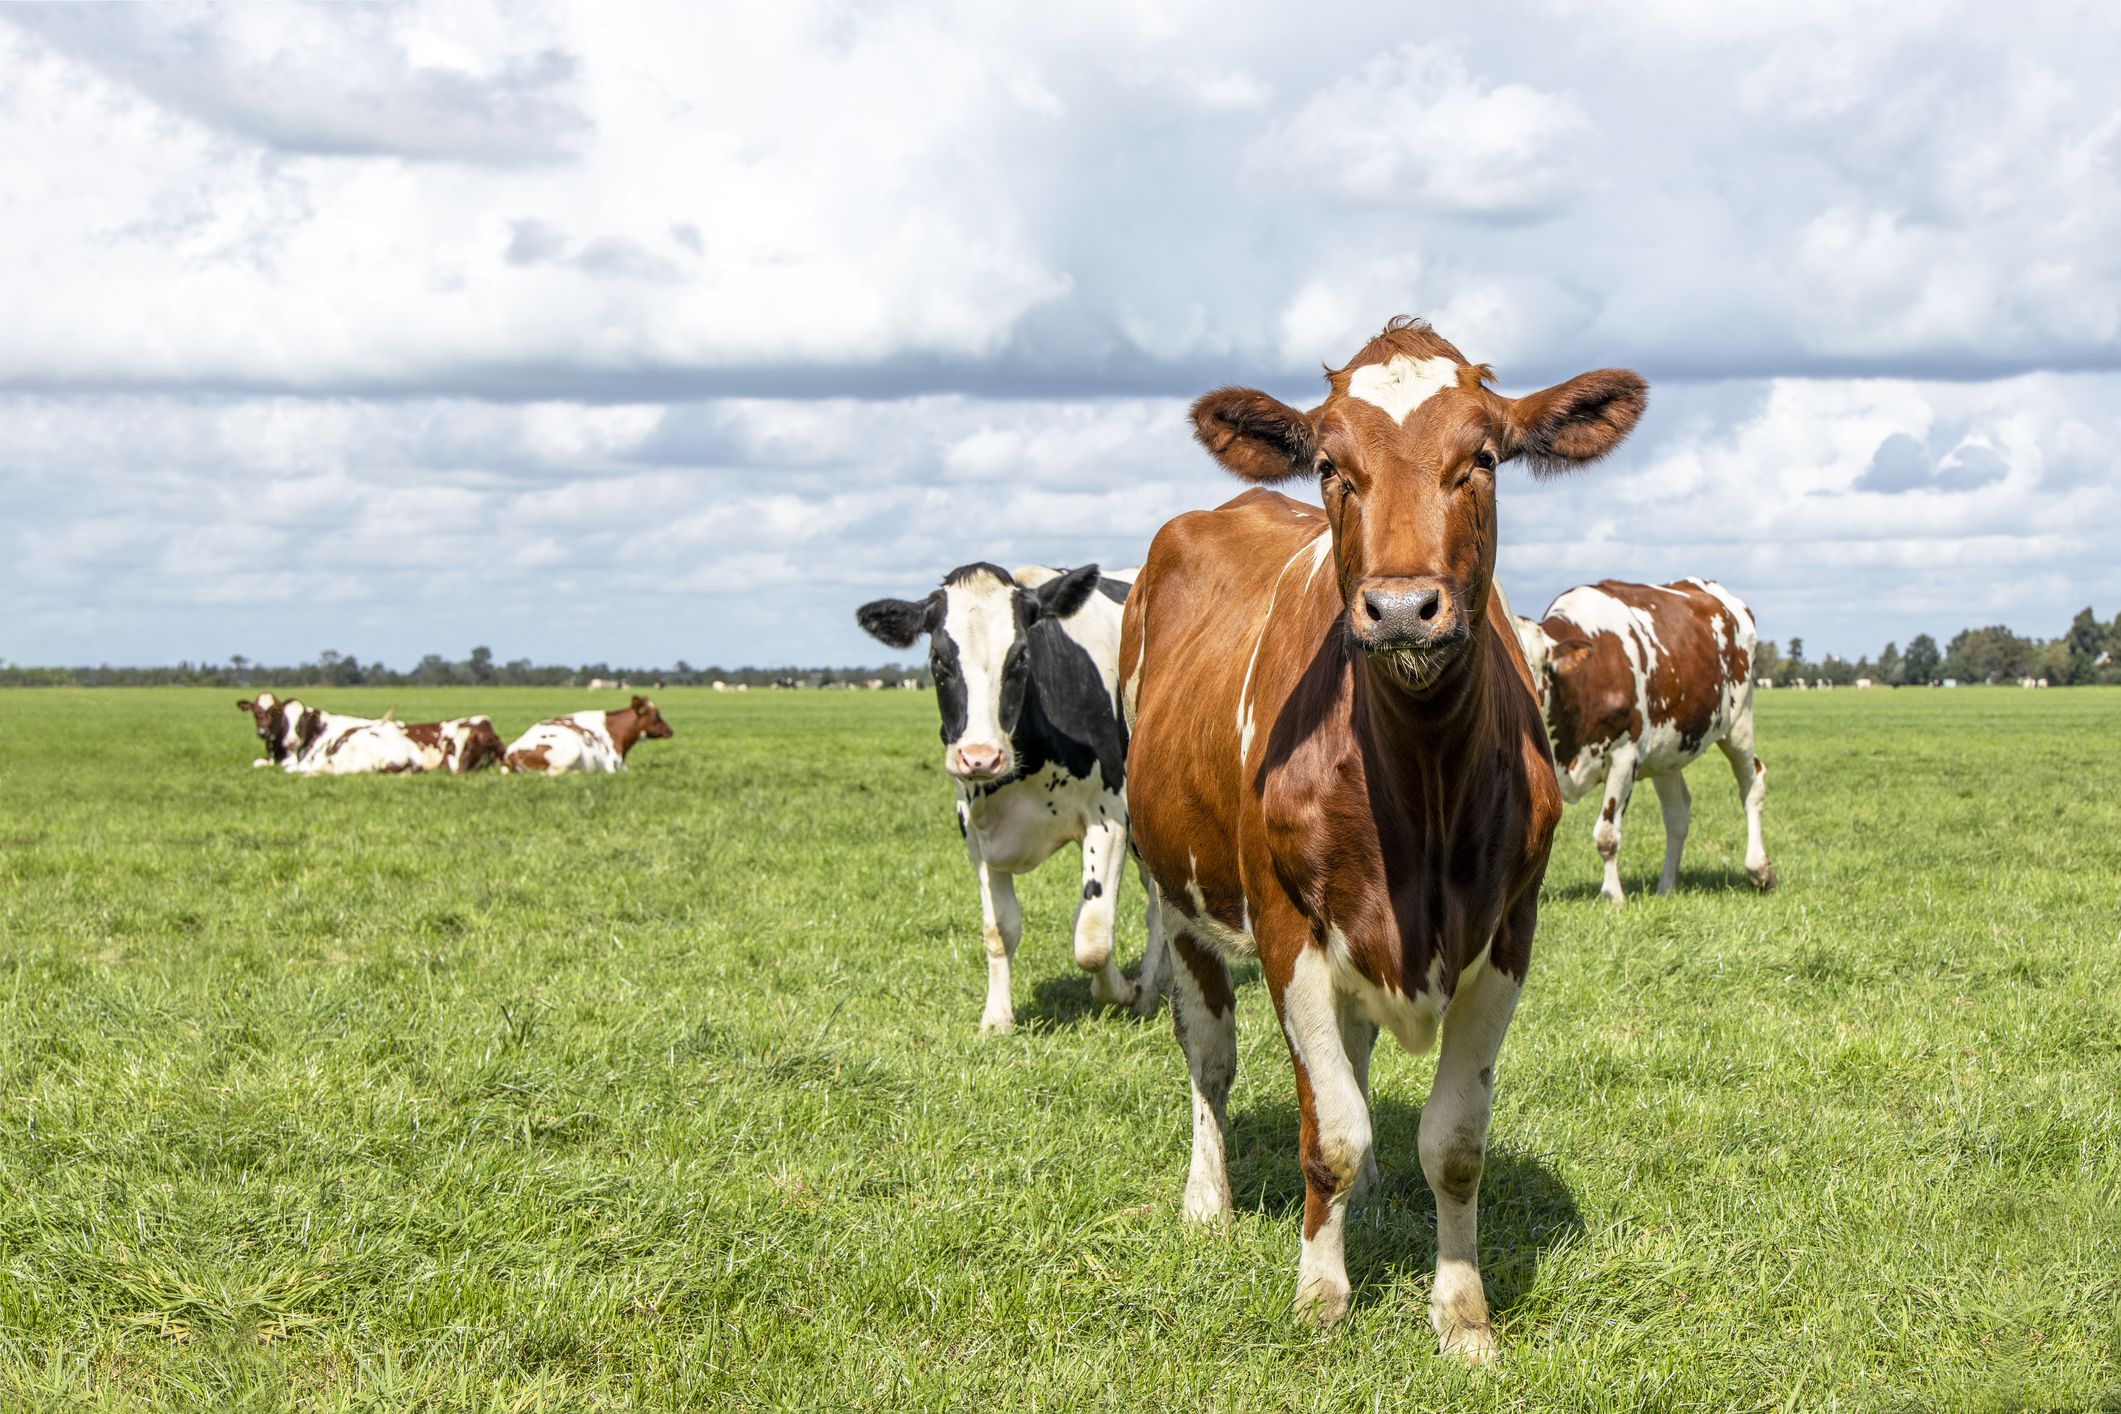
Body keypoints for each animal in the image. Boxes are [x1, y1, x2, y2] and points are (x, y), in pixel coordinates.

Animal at [857, 562, 1166, 1034]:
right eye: (938, 659)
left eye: (1021, 656)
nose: (980, 757)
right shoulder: (974, 830)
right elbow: (1000, 930)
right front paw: (997, 1018)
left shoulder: (1109, 817)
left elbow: (1092, 937)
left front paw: (1122, 991)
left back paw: (1148, 989)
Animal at [1120, 317, 1646, 1358]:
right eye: (1330, 466)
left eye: (1482, 457)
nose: (1401, 607)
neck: (1422, 781)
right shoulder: (1286, 931)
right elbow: (1326, 1132)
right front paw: (1321, 1297)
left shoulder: (1508, 933)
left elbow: (1451, 1141)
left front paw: (1462, 1316)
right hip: (1179, 894)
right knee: (1212, 1055)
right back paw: (1208, 1199)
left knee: (1351, 1066)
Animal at [1511, 579, 1775, 904]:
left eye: (1536, 665)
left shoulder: (1625, 755)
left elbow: (1606, 835)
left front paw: (1612, 896)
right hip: (1669, 749)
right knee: (1677, 814)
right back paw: (1667, 886)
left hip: (1739, 725)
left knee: (1752, 786)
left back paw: (1758, 870)